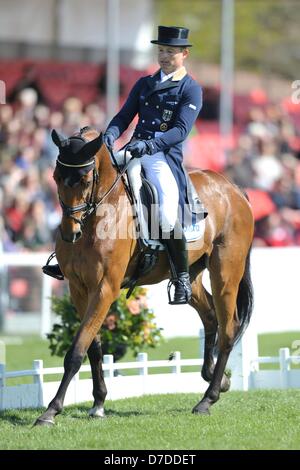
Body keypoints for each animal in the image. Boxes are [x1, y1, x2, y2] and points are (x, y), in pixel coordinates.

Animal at [34, 126, 253, 426]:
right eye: (55, 177)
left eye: (85, 180)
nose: (70, 234)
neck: (100, 215)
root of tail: (234, 189)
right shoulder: (78, 288)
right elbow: (93, 346)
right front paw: (98, 403)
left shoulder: (105, 288)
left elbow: (77, 351)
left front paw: (51, 411)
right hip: (191, 274)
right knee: (210, 316)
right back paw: (217, 380)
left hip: (226, 272)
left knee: (229, 328)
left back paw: (207, 399)